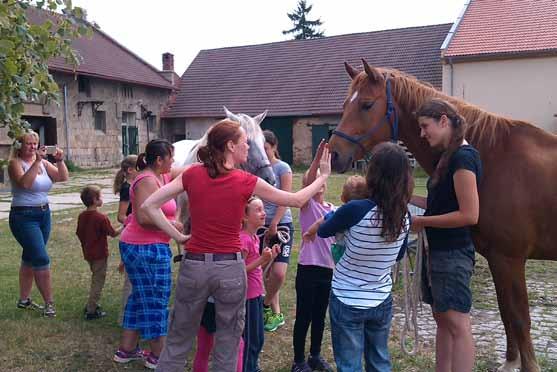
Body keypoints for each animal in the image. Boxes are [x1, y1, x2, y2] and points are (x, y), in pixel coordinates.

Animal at [328, 59, 556, 370]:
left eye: (366, 104)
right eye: (343, 104)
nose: (334, 154)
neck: (493, 158)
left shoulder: (510, 259)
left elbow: (520, 320)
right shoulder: (498, 260)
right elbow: (506, 314)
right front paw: (510, 362)